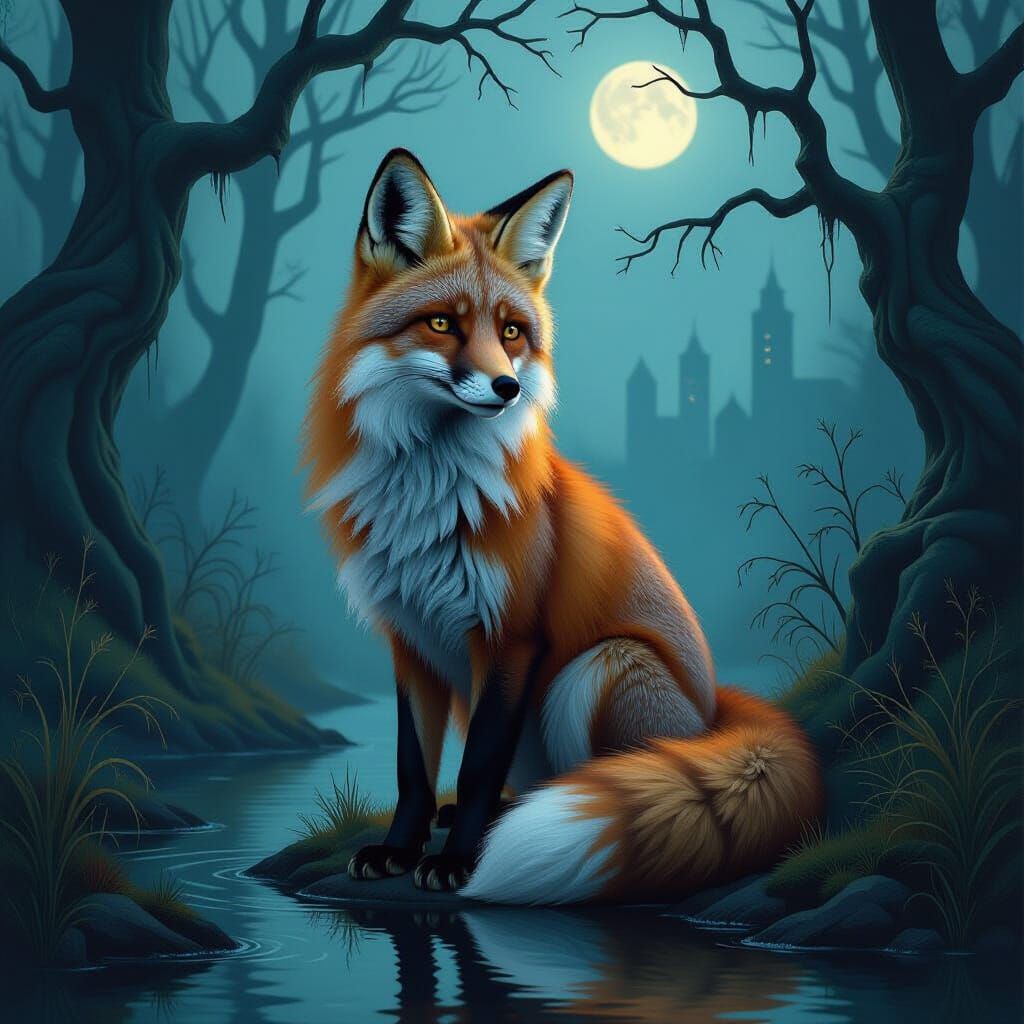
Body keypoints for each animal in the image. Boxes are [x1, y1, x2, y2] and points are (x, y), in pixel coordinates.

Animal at [303, 148, 822, 904]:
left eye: (511, 333)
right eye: (442, 324)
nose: (507, 387)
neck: (429, 502)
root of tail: (714, 712)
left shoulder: (512, 635)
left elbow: (478, 767)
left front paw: (456, 863)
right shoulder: (411, 640)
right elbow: (412, 768)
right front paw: (398, 849)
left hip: (598, 669)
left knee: (593, 782)